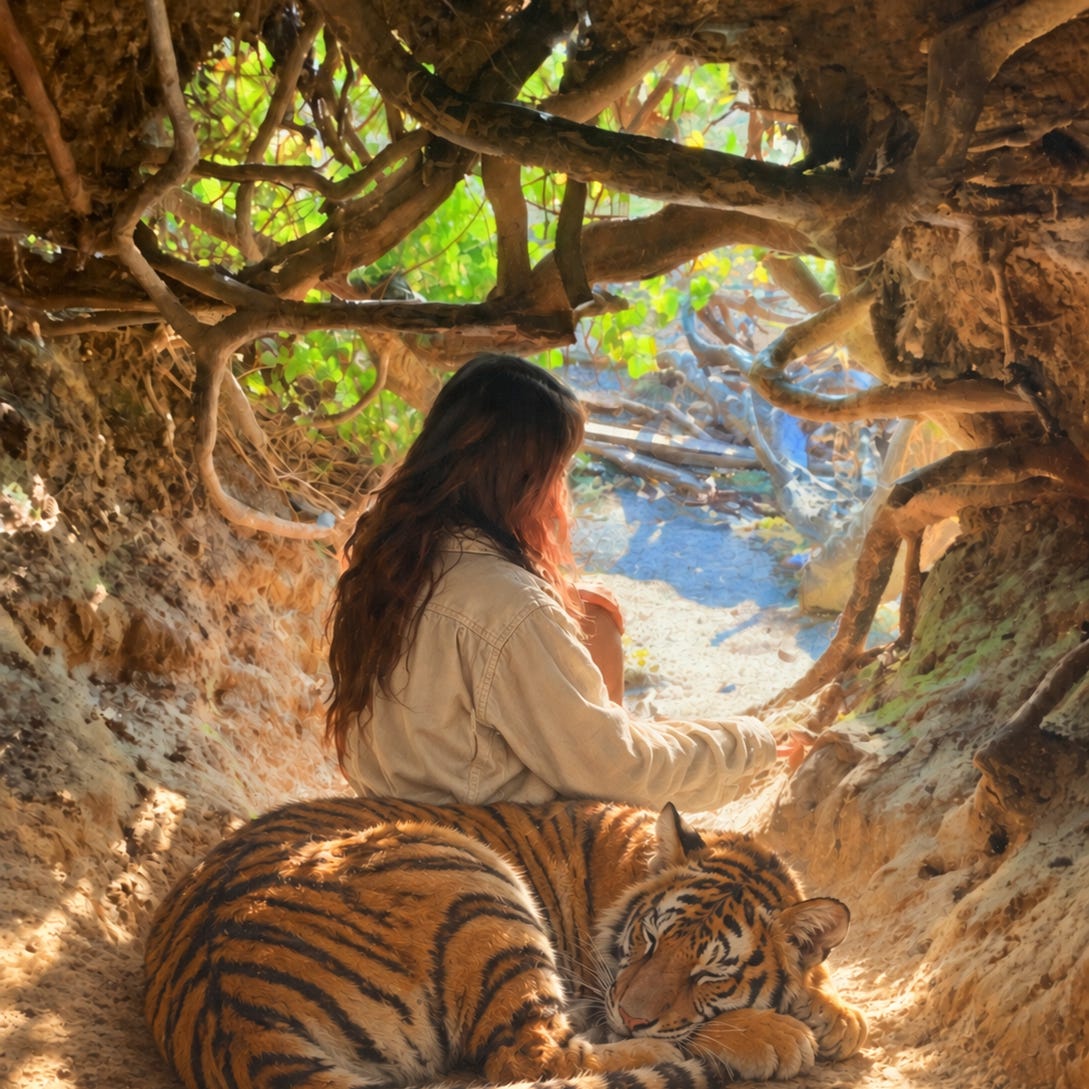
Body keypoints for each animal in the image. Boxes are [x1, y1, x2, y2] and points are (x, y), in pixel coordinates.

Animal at [144, 797, 867, 1089]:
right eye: (647, 940)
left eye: (710, 974)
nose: (631, 1013)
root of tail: (229, 1015)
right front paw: (787, 1029)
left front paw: (837, 1014)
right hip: (473, 881)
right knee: (536, 1057)